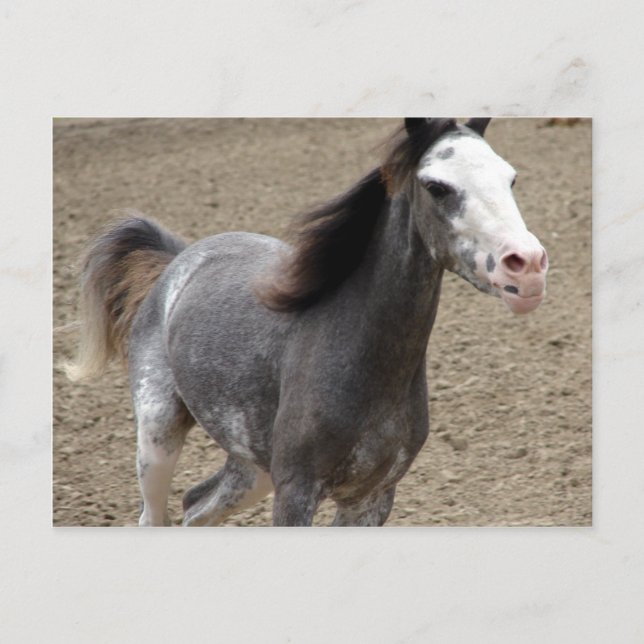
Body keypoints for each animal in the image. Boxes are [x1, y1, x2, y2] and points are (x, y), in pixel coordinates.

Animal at [64, 117, 548, 526]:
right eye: (437, 186)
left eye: (510, 177)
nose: (527, 266)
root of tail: (177, 261)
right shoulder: (296, 492)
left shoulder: (371, 498)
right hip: (157, 436)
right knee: (157, 515)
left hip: (252, 467)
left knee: (196, 506)